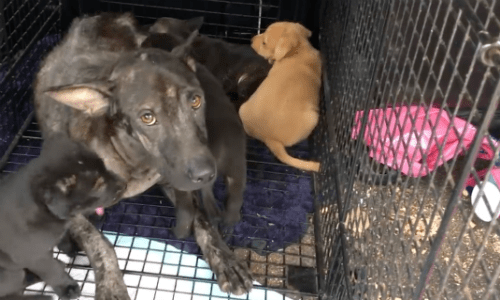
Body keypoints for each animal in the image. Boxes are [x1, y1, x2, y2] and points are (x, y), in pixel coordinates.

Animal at [0, 135, 125, 300]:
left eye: (105, 166)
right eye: (98, 184)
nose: (125, 185)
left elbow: (64, 235)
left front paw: (69, 246)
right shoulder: (33, 255)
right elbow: (52, 271)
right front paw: (68, 288)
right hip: (11, 274)